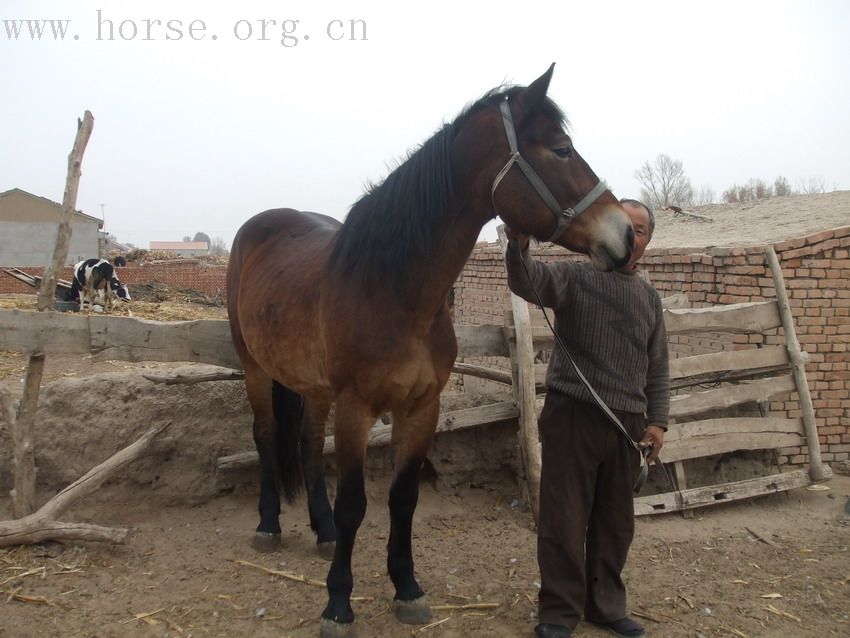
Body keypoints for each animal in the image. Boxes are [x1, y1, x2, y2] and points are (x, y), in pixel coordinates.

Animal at [229, 66, 632, 638]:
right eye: (561, 150)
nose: (625, 234)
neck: (393, 289)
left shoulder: (421, 407)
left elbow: (403, 499)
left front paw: (407, 588)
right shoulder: (357, 408)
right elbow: (355, 503)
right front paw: (338, 604)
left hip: (315, 387)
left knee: (306, 444)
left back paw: (322, 531)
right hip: (255, 369)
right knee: (266, 437)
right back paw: (268, 525)